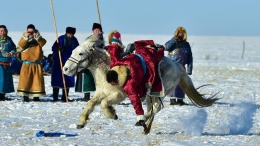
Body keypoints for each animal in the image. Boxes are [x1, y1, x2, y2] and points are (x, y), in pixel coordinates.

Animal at [63, 34, 219, 135]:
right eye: (73, 51)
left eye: (81, 54)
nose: (65, 69)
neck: (108, 69)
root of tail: (176, 65)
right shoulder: (101, 92)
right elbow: (90, 103)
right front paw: (81, 122)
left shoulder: (120, 94)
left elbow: (104, 103)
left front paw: (112, 114)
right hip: (151, 95)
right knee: (153, 108)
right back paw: (146, 127)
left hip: (161, 92)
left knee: (156, 108)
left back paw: (142, 121)